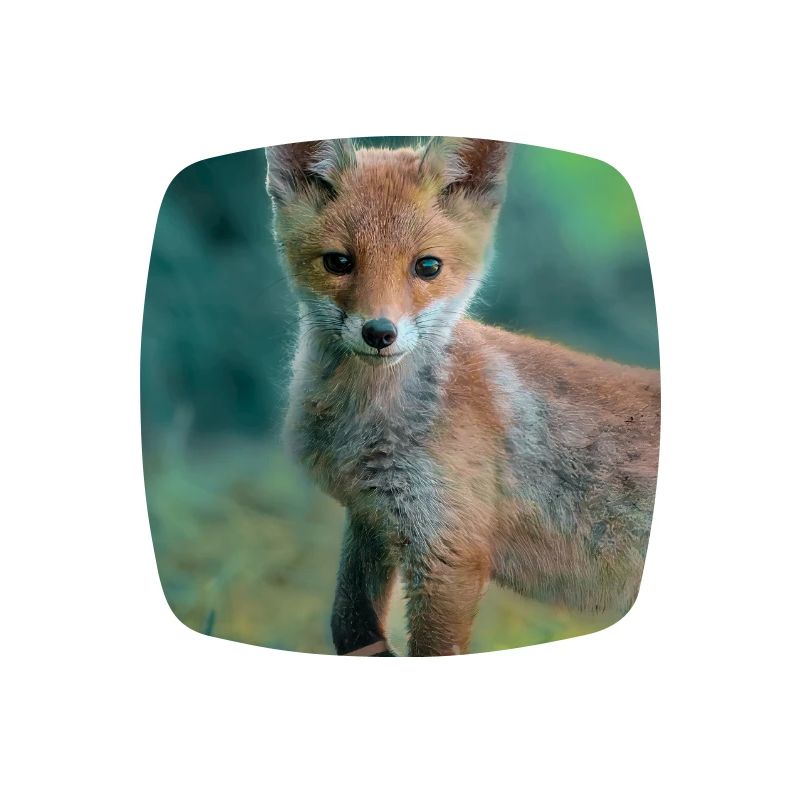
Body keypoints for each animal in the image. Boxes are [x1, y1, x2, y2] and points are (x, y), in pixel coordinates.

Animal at [265, 137, 660, 657]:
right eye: (338, 262)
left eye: (427, 266)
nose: (379, 333)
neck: (367, 425)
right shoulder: (373, 515)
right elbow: (349, 623)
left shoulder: (449, 552)